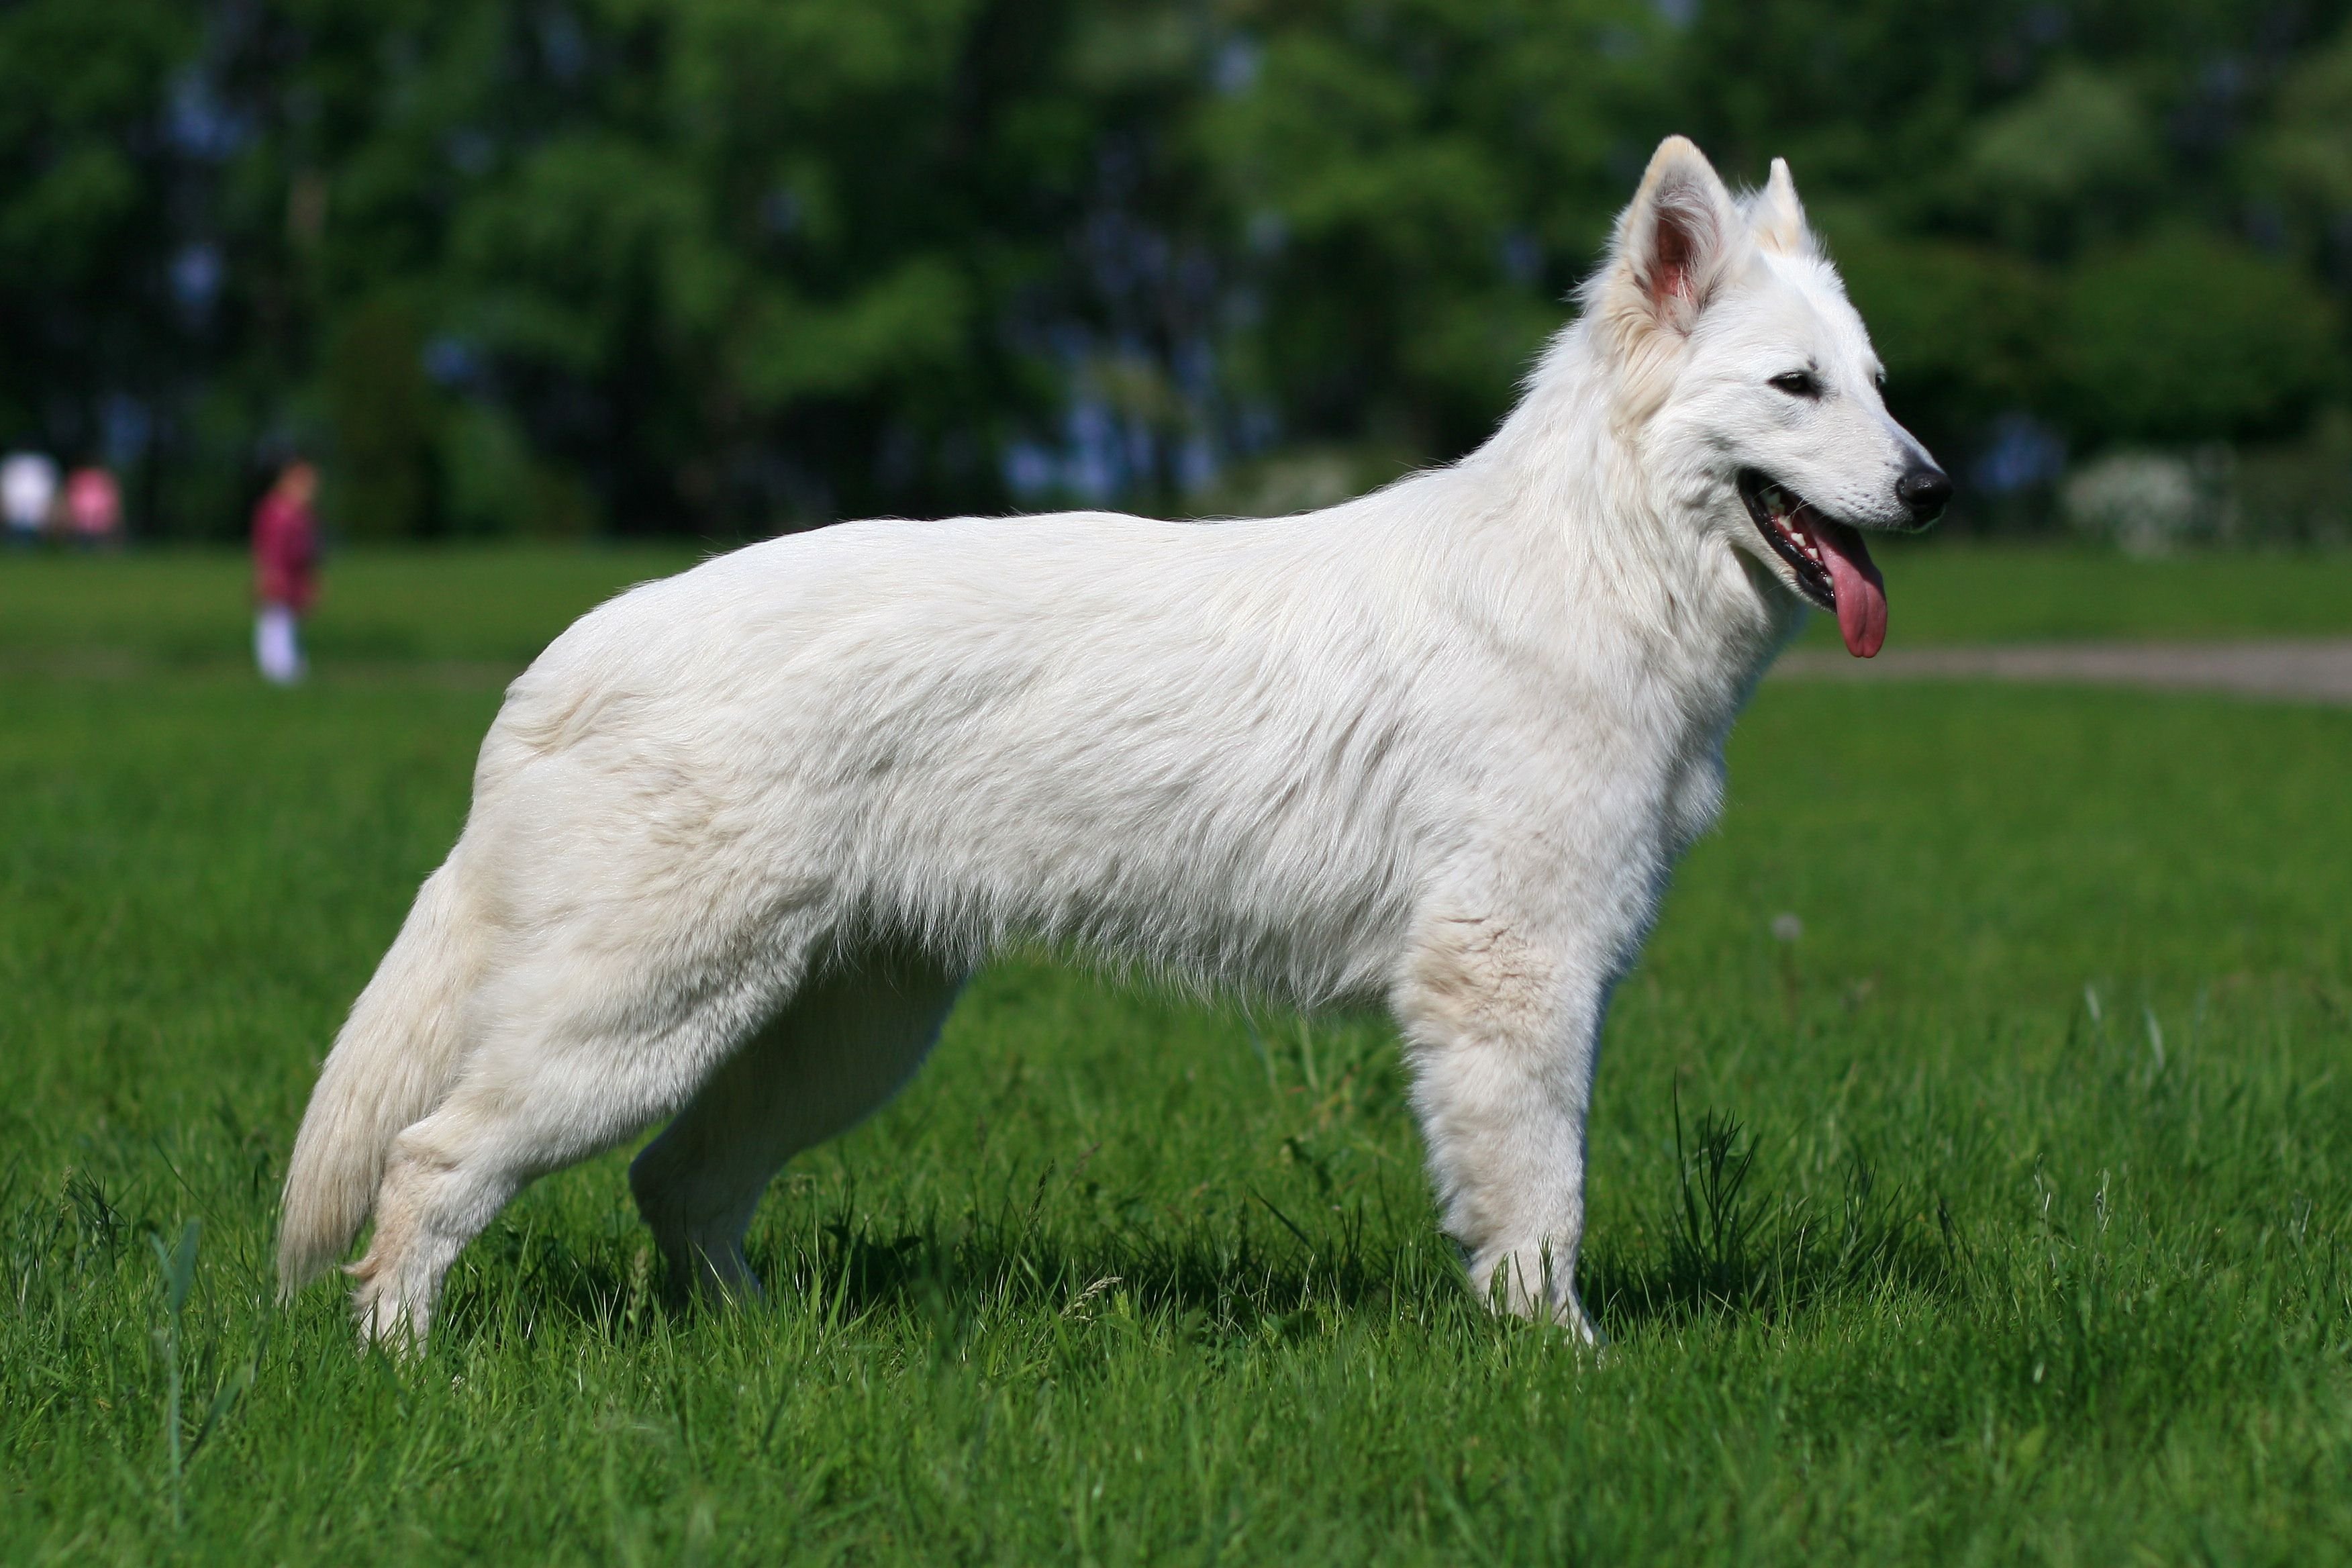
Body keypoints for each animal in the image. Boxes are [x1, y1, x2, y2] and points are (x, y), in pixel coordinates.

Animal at [275, 138, 1947, 1354]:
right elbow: (1540, 1210)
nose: (1935, 489)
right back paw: (406, 1370)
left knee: (674, 1186)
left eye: (1879, 384)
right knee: (433, 1163)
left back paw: (777, 1350)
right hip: (636, 1024)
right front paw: (1567, 1370)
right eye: (1794, 388)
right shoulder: (1512, 984)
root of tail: (574, 651)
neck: (1589, 560)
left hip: (836, 1031)